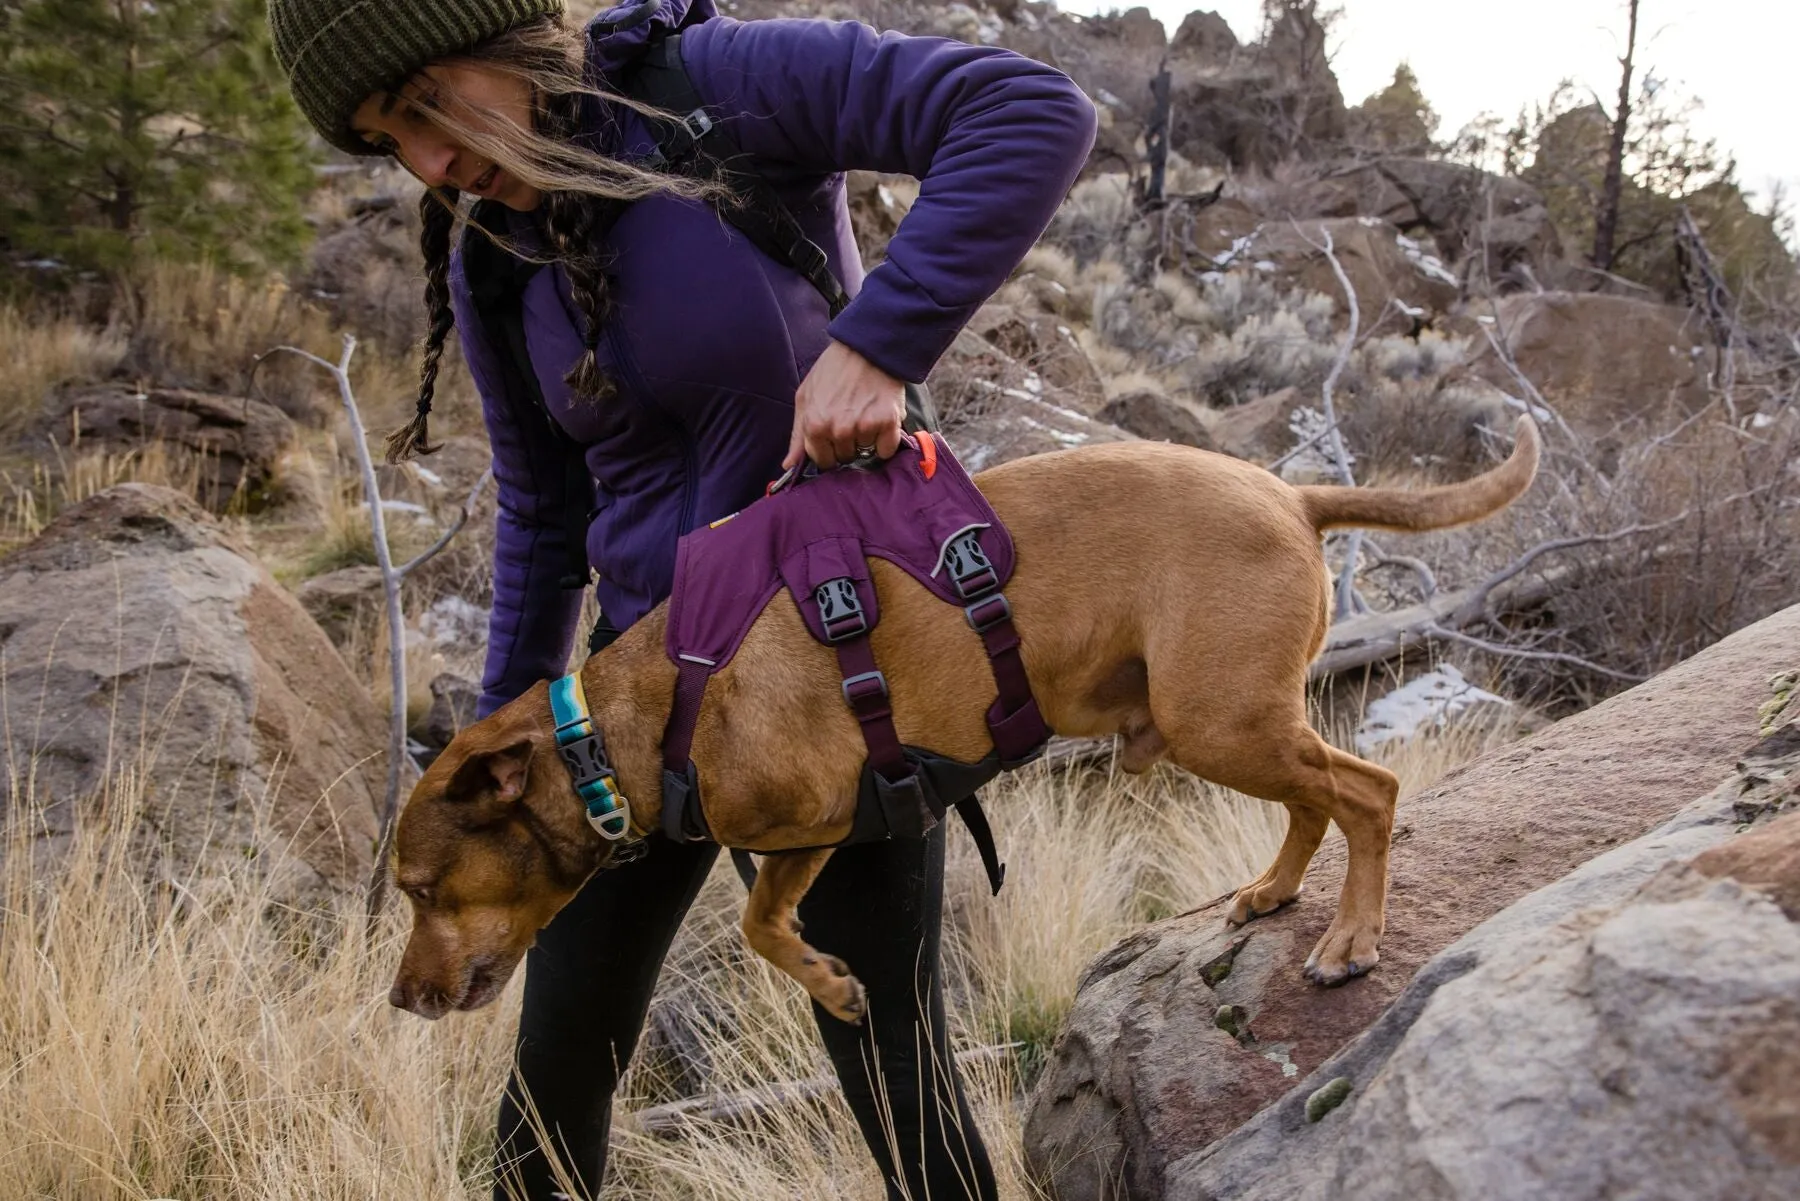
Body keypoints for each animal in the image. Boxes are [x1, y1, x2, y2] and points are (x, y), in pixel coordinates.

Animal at [387, 423, 1540, 1022]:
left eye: (420, 889)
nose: (402, 998)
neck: (623, 721)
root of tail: (1294, 496)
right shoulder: (829, 827)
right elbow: (765, 916)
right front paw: (829, 979)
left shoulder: (823, 812)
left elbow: (758, 921)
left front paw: (832, 984)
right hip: (1226, 723)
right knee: (1313, 799)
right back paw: (1274, 890)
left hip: (1223, 720)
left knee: (1368, 791)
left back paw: (1351, 938)